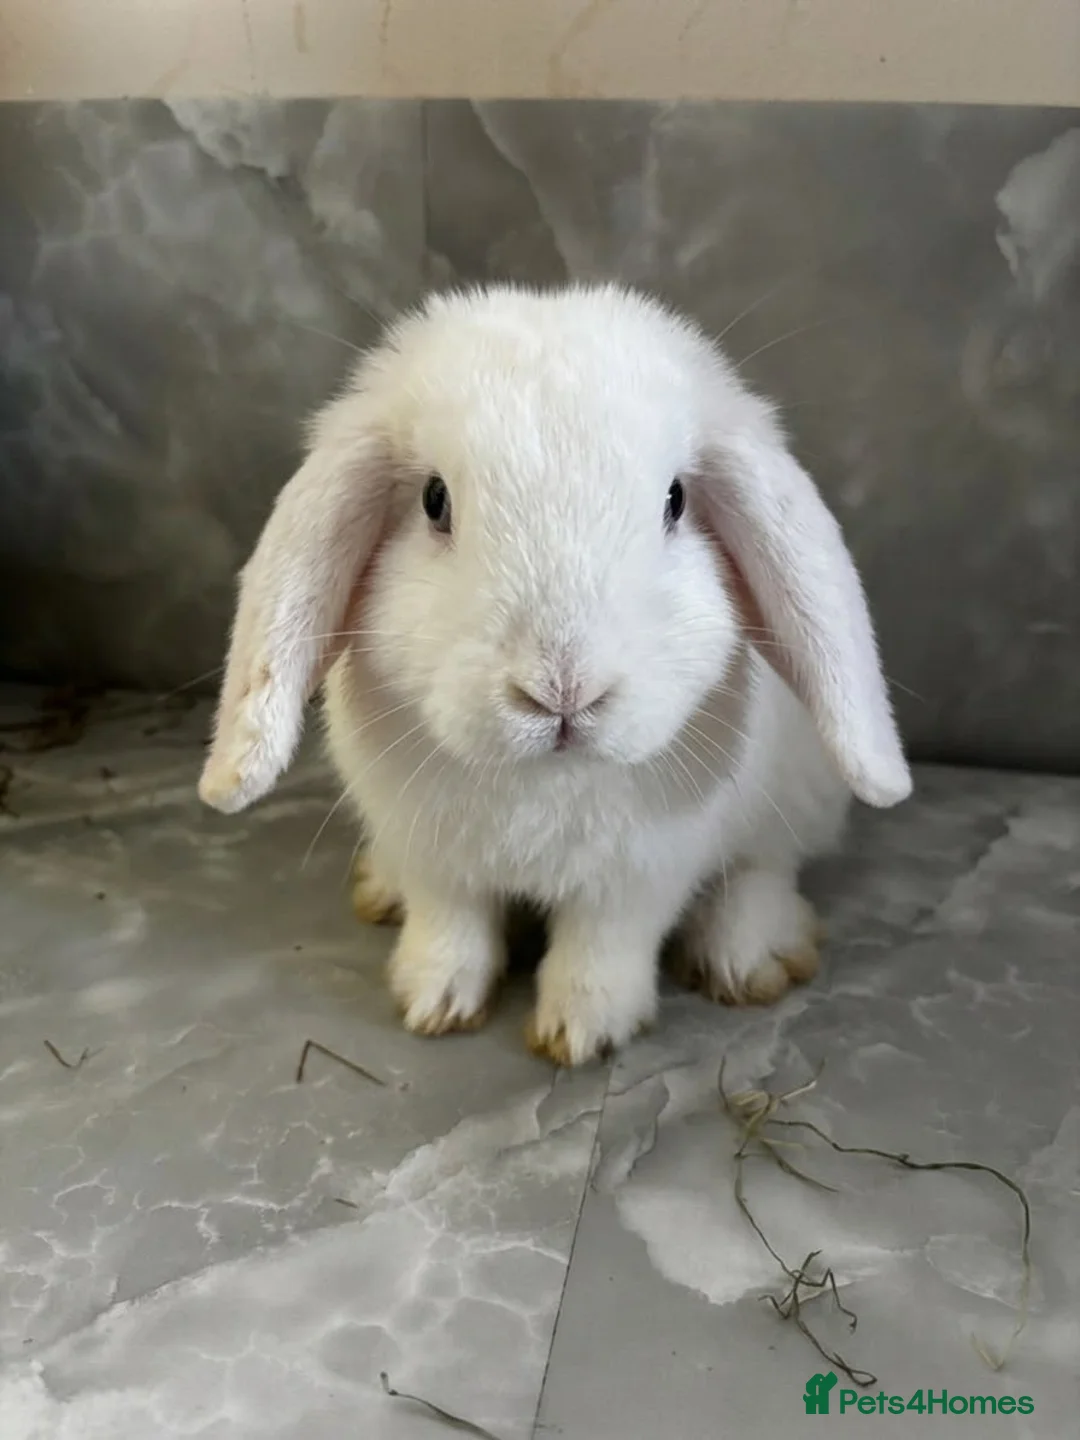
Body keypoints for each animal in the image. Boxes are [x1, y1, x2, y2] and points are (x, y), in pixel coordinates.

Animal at [199, 282, 911, 1066]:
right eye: (435, 501)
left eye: (675, 501)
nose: (563, 692)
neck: (545, 780)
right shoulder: (432, 855)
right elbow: (450, 925)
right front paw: (434, 1002)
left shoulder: (639, 875)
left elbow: (601, 948)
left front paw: (580, 1033)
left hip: (797, 798)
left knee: (764, 867)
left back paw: (749, 957)